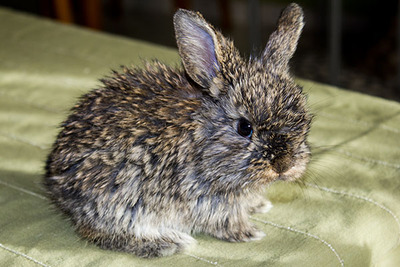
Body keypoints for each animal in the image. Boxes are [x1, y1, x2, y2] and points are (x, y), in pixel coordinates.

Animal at [44, 1, 312, 258]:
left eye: (305, 121)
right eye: (244, 128)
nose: (284, 165)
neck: (203, 135)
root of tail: (56, 184)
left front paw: (258, 205)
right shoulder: (206, 200)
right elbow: (225, 222)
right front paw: (249, 233)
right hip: (120, 199)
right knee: (98, 232)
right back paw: (168, 243)